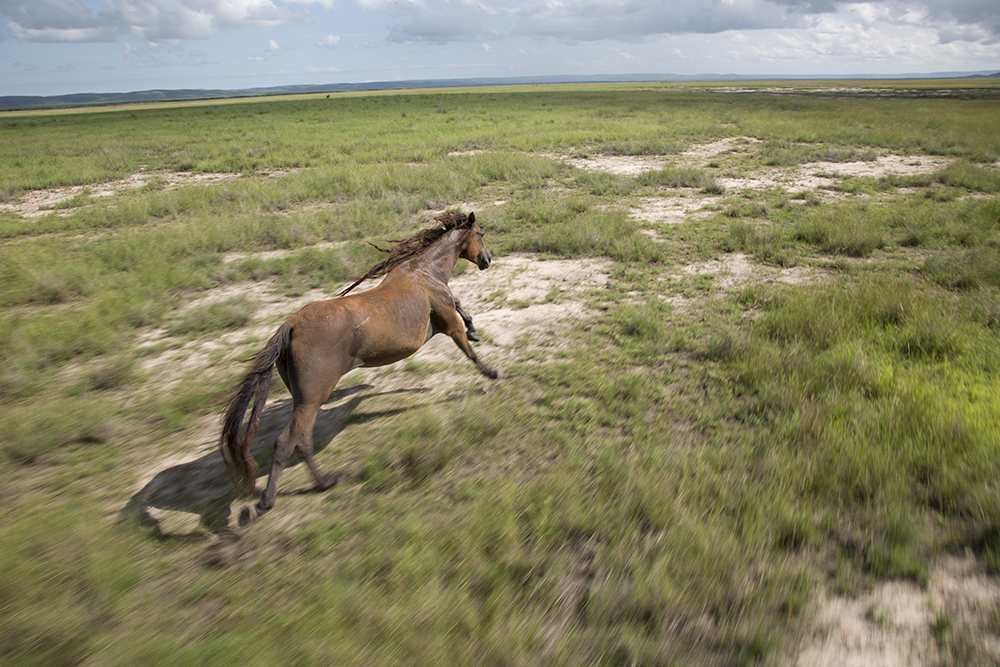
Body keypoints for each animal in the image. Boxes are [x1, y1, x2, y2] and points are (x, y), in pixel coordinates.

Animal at [219, 214, 500, 528]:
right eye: (481, 234)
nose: (488, 259)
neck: (426, 272)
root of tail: (290, 326)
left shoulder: (444, 316)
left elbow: (463, 309)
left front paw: (474, 332)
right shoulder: (448, 324)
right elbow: (469, 350)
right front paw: (491, 373)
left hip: (304, 400)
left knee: (302, 442)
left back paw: (325, 482)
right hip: (312, 397)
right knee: (285, 443)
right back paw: (264, 504)